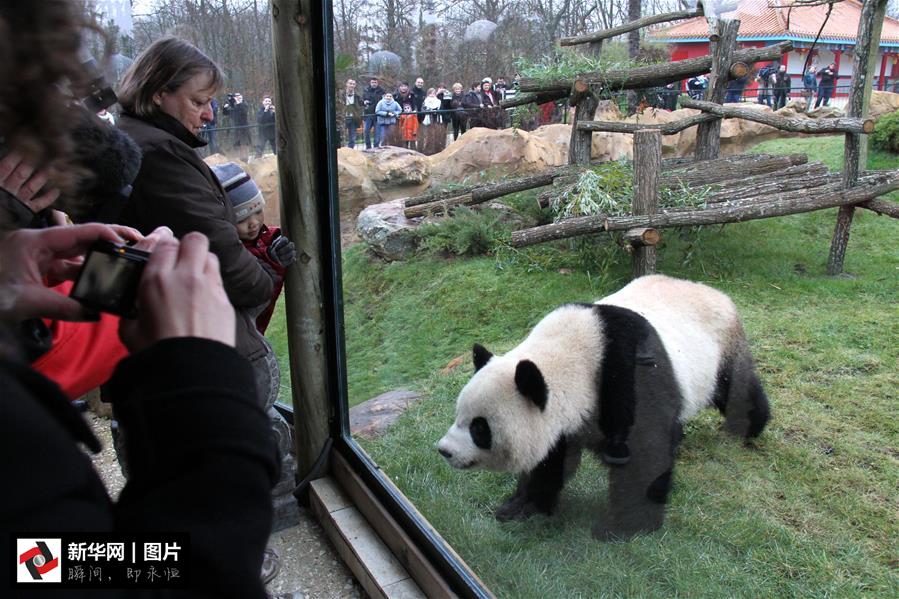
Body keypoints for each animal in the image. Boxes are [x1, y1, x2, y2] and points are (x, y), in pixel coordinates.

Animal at [438, 274, 772, 540]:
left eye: (479, 428)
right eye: (458, 416)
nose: (444, 451)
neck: (574, 357)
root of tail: (712, 290)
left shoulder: (627, 377)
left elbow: (645, 454)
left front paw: (623, 527)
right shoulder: (563, 422)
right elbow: (550, 460)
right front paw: (520, 506)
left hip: (722, 346)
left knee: (735, 389)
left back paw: (747, 427)